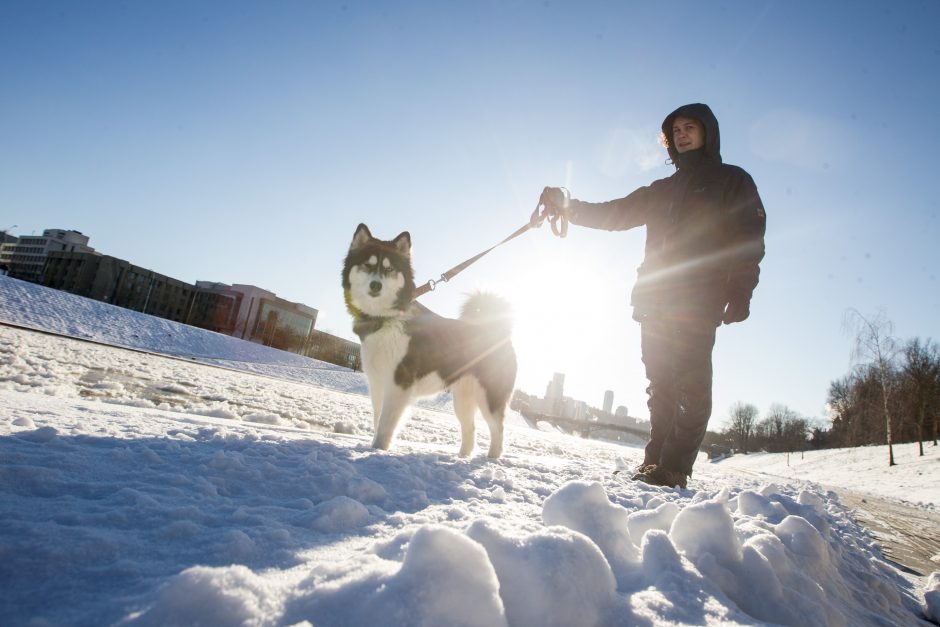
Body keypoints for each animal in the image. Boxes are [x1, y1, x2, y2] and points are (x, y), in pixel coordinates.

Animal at [346, 223, 516, 458]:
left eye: (389, 269)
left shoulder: (398, 384)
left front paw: (377, 451)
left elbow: (385, 425)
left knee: (498, 429)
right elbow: (377, 419)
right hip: (462, 396)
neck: (386, 318)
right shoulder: (378, 383)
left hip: (489, 395)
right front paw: (371, 448)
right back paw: (462, 456)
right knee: (470, 428)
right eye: (367, 265)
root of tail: (497, 330)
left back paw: (490, 458)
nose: (375, 286)